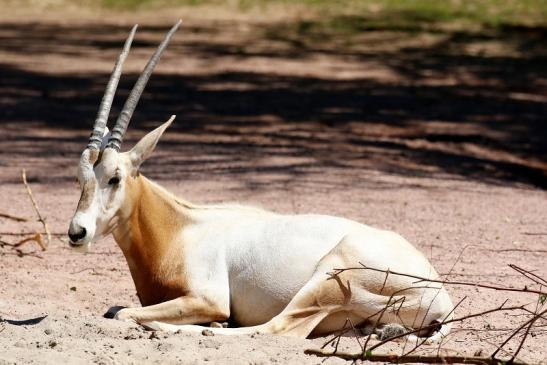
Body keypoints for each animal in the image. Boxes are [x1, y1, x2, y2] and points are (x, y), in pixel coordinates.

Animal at [67, 21, 454, 340]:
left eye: (115, 178)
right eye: (80, 178)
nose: (76, 232)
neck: (178, 229)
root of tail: (440, 297)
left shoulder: (207, 297)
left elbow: (122, 312)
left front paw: (206, 322)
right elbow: (116, 309)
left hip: (332, 276)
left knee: (276, 327)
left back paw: (195, 329)